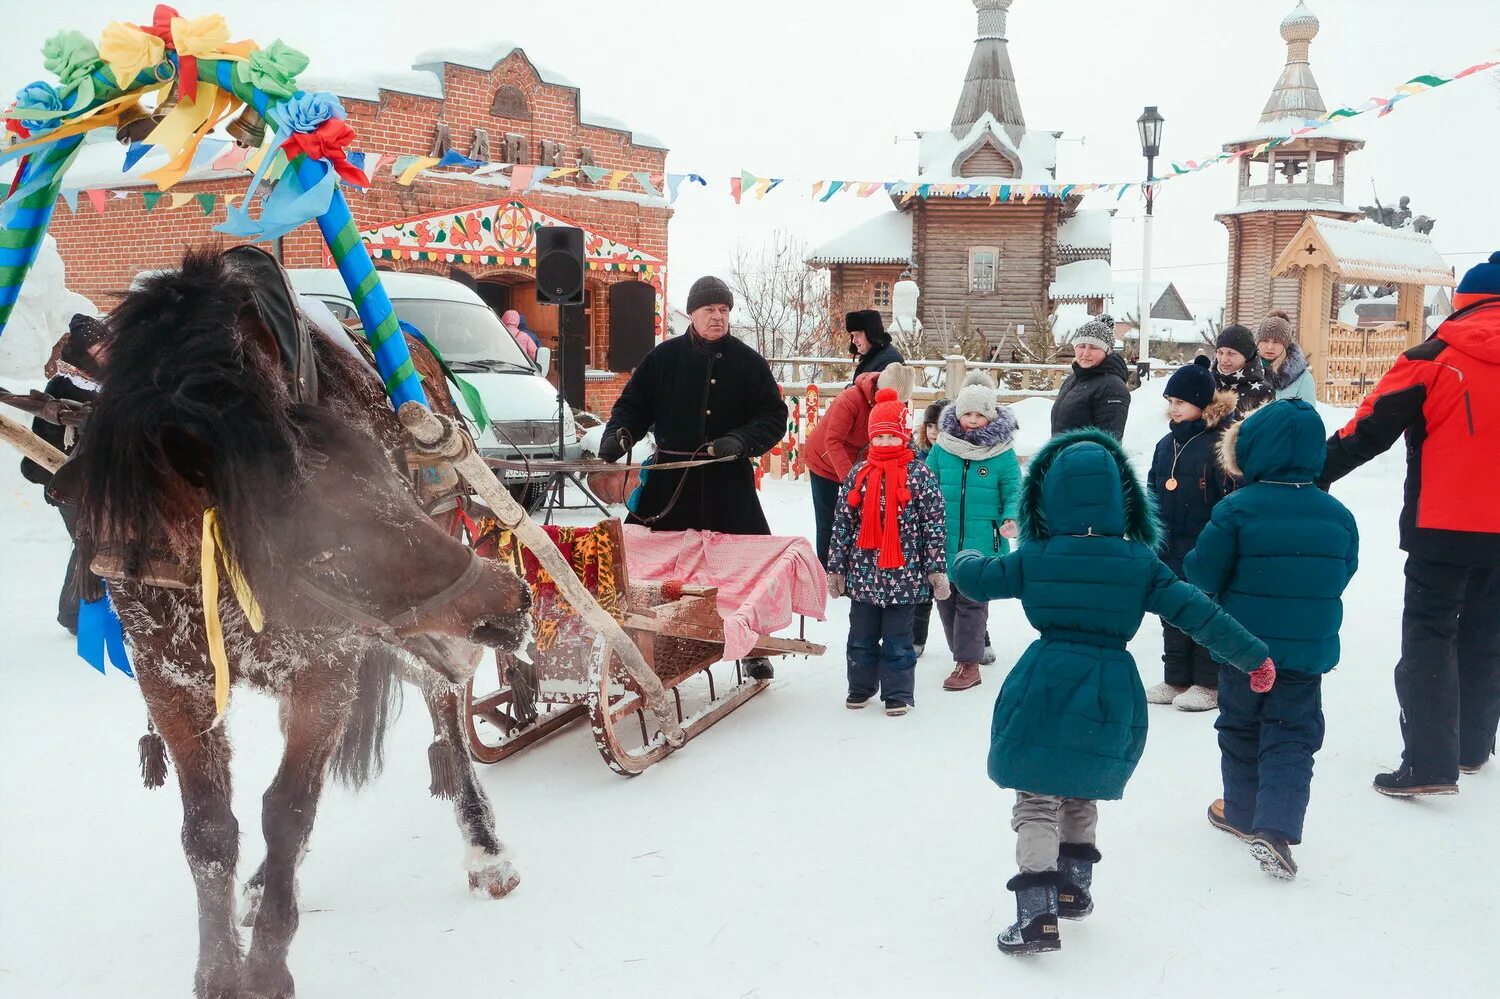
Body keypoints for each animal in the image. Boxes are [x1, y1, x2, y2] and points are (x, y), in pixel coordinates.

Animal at [64, 250, 534, 996]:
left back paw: (486, 849)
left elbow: (286, 810)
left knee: (449, 730)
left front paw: (266, 965)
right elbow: (210, 829)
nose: (513, 600)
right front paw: (219, 968)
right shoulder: (171, 681)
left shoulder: (326, 668)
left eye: (387, 474)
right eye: (323, 527)